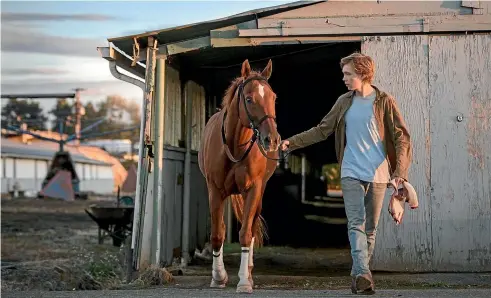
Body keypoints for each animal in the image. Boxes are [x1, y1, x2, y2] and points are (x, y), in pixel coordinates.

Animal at [197, 58, 280, 294]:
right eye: (250, 99)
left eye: (273, 97)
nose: (272, 139)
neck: (234, 145)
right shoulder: (215, 191)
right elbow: (218, 234)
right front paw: (218, 277)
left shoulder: (253, 189)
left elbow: (245, 233)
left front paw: (244, 281)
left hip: (259, 192)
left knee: (250, 227)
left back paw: (249, 272)